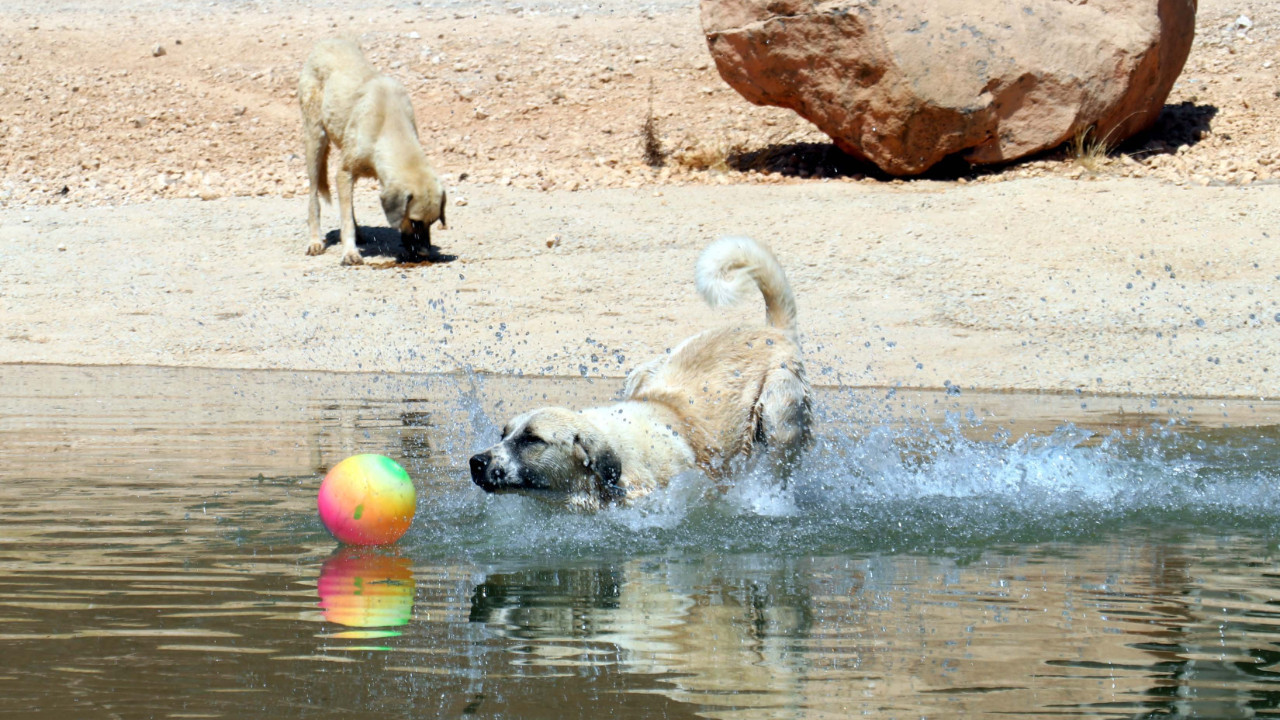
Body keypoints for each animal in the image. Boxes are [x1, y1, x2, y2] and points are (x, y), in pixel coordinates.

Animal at [299, 37, 447, 265]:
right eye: (414, 222)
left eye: (433, 222)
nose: (423, 254)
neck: (390, 125)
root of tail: (327, 42)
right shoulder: (344, 172)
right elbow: (345, 219)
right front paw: (350, 252)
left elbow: (347, 211)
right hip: (315, 140)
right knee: (314, 197)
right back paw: (315, 240)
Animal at [469, 236, 811, 510]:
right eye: (503, 434)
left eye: (532, 440)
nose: (476, 461)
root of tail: (772, 332)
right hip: (645, 371)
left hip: (779, 414)